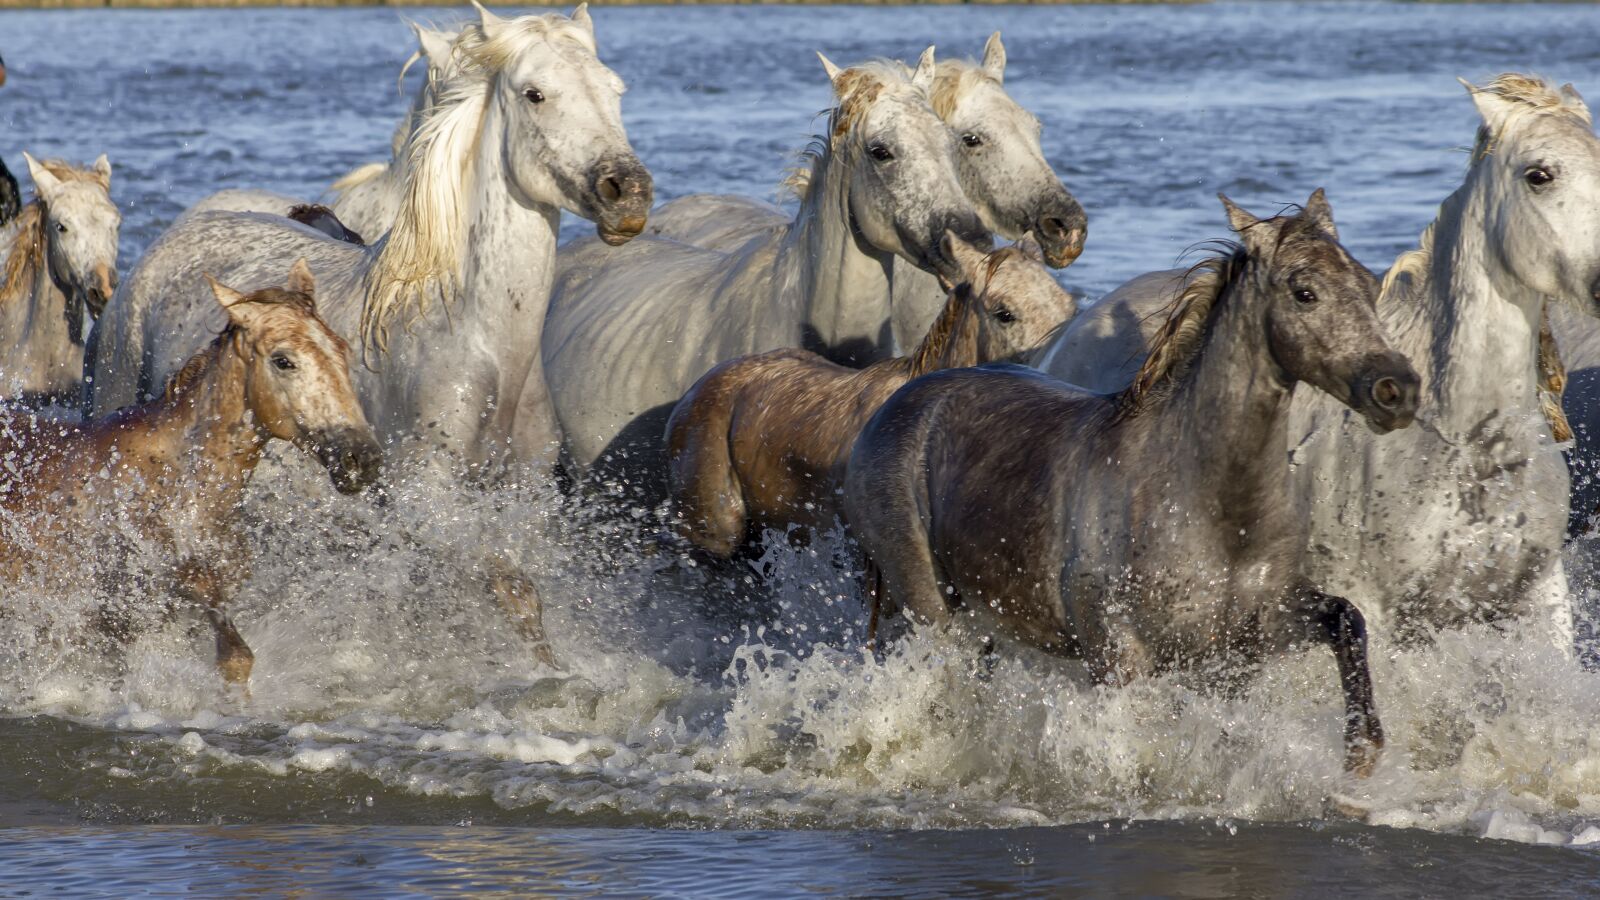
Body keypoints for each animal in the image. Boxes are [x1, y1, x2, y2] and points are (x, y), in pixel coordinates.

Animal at [87, 5, 652, 662]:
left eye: (615, 89)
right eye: (535, 93)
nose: (628, 193)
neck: (479, 344)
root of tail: (159, 251)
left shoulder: (522, 497)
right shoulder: (427, 500)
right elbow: (512, 591)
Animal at [845, 192, 1419, 776]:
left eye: (1367, 284)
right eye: (1305, 292)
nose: (1396, 389)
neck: (1209, 506)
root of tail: (893, 406)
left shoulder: (1249, 640)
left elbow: (1346, 619)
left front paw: (1361, 751)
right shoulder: (1120, 656)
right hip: (932, 608)